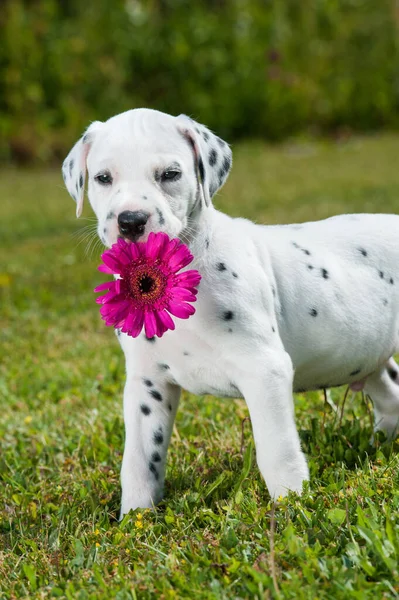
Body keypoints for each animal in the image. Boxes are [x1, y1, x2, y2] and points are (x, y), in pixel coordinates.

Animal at [61, 109, 399, 516]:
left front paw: (293, 506)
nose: (131, 221)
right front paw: (135, 517)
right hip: (369, 354)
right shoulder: (147, 383)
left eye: (170, 174)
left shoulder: (264, 371)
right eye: (103, 178)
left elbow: (277, 450)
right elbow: (141, 460)